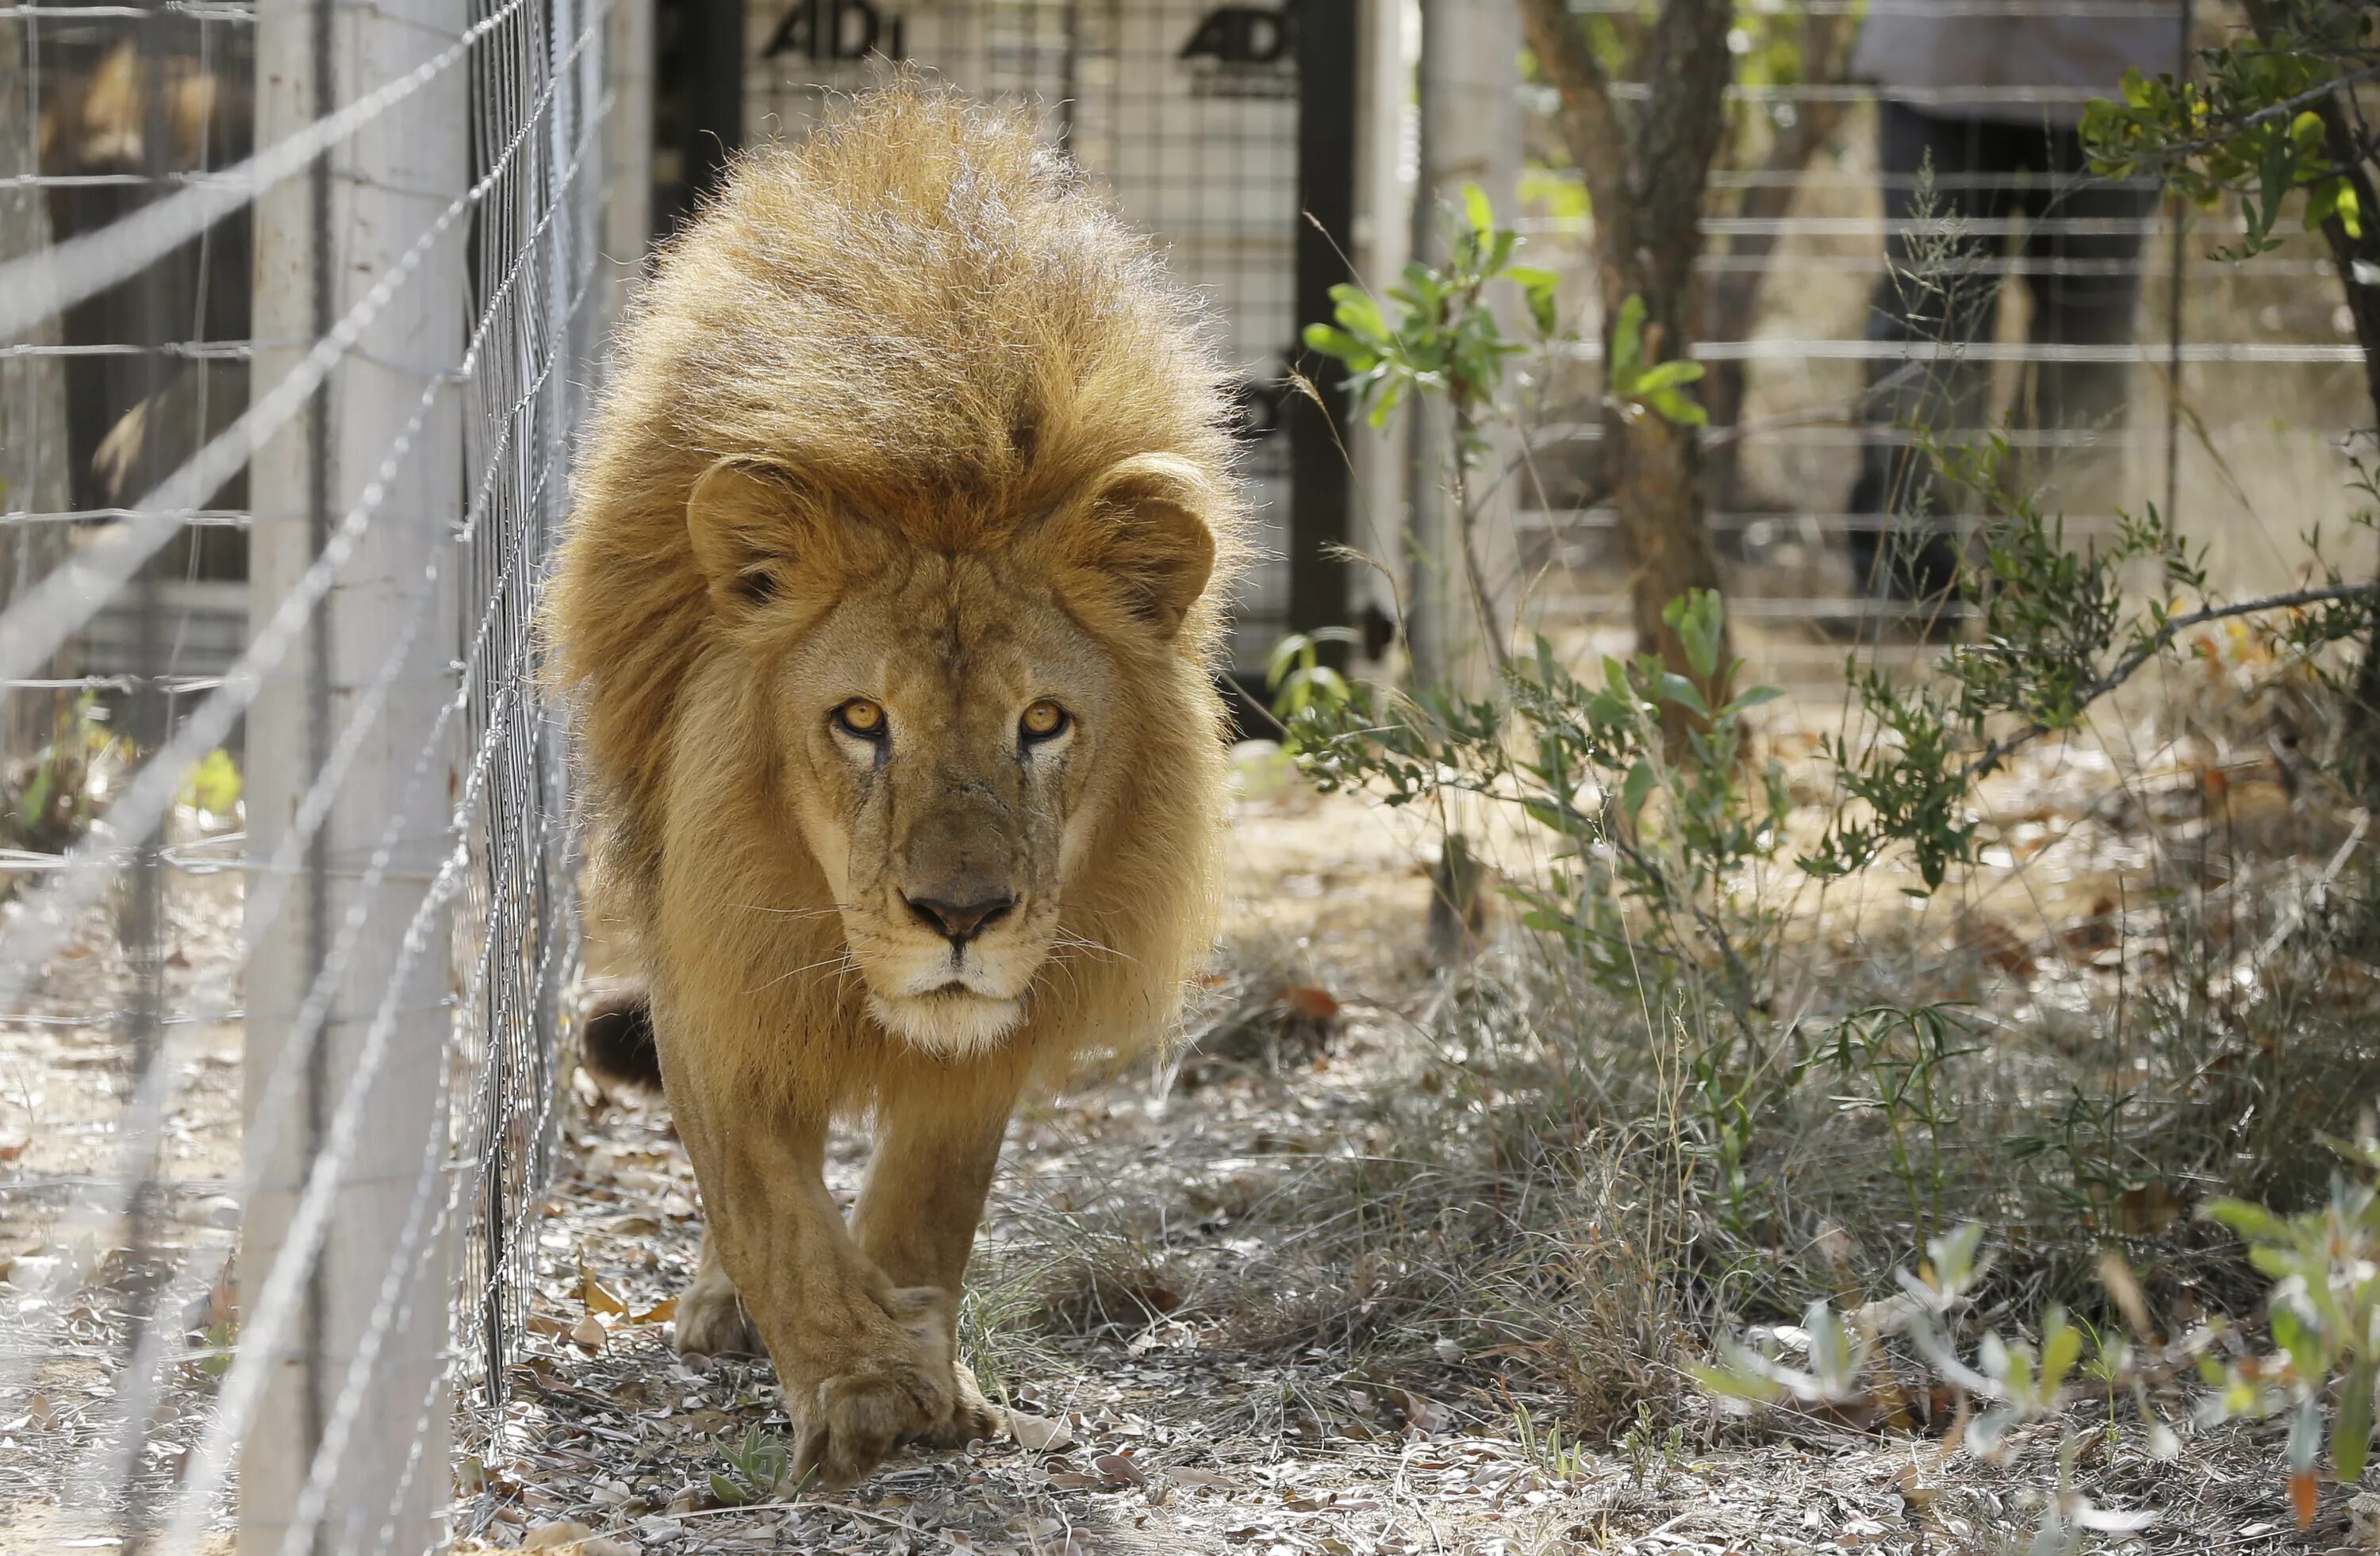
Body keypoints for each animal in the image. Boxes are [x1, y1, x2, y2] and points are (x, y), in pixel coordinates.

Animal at [545, 82, 1238, 1485]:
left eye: (1044, 722)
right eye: (861, 720)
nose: (959, 917)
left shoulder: (1001, 1018)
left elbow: (928, 1204)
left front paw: (929, 1366)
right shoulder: (715, 957)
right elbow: (769, 1208)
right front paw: (864, 1385)